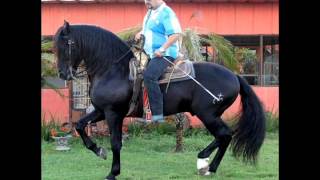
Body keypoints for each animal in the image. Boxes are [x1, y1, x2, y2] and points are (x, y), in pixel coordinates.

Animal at [53, 20, 266, 179]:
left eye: (67, 44)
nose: (63, 74)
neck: (113, 70)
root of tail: (235, 76)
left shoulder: (114, 113)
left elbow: (115, 142)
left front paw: (113, 173)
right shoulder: (100, 111)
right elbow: (80, 125)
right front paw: (98, 150)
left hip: (207, 114)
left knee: (225, 134)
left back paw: (205, 162)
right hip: (210, 115)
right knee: (224, 136)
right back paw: (207, 164)